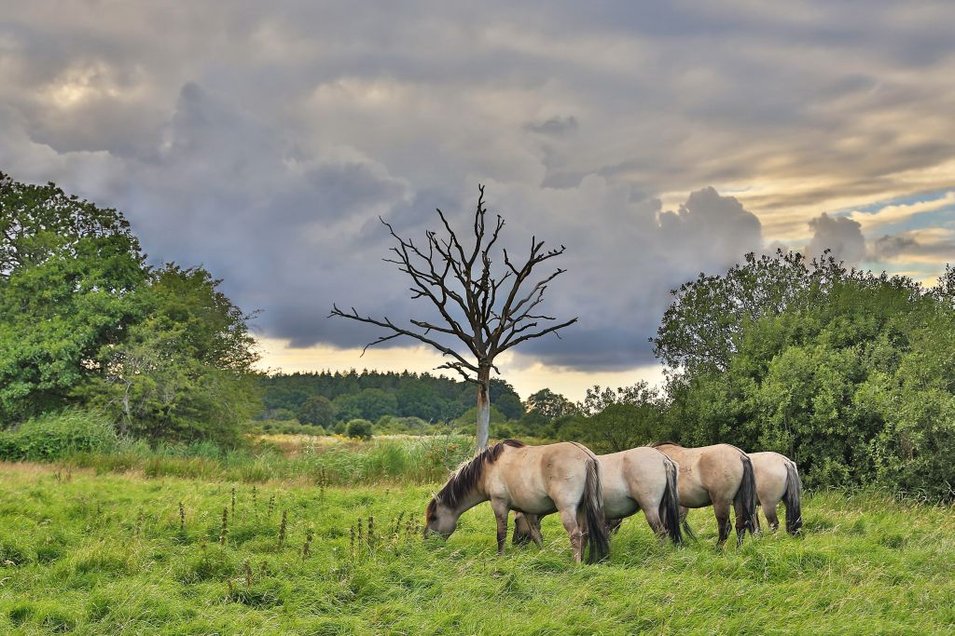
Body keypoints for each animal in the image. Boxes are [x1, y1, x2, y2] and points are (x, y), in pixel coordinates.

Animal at [426, 440, 612, 564]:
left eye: (433, 517)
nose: (426, 541)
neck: (487, 469)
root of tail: (587, 457)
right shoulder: (529, 510)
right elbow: (536, 534)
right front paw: (543, 553)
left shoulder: (499, 504)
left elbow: (501, 534)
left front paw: (500, 558)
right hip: (582, 508)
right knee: (585, 533)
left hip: (567, 509)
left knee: (575, 534)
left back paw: (576, 563)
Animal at [512, 448, 684, 548]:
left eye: (515, 521)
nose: (515, 543)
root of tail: (663, 458)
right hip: (661, 508)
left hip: (650, 508)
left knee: (660, 532)